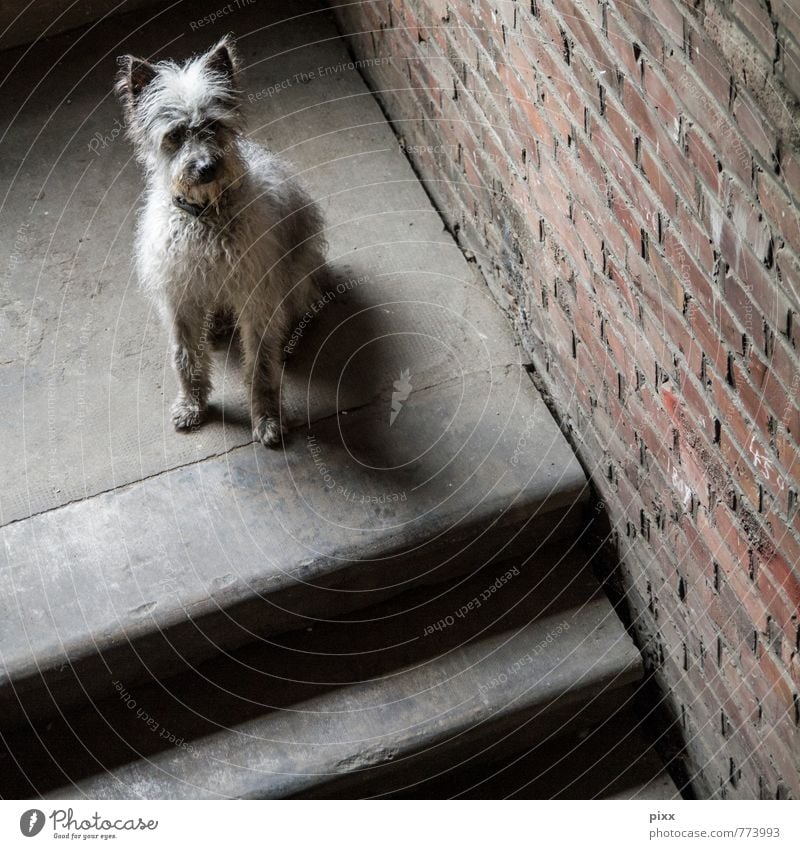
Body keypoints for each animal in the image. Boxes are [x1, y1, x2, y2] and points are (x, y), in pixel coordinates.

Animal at [115, 34, 324, 444]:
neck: (205, 219)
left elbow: (260, 365)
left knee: (300, 306)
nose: (207, 168)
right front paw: (192, 404)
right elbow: (185, 357)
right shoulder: (180, 298)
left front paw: (266, 417)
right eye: (175, 134)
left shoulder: (257, 299)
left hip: (296, 276)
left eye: (212, 125)